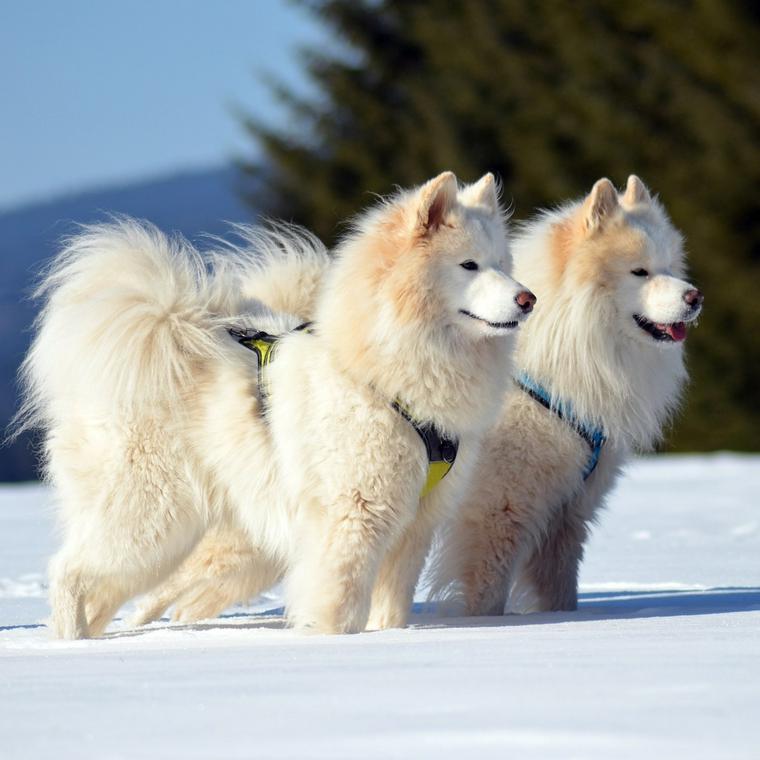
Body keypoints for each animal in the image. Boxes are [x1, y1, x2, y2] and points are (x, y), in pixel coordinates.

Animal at [14, 171, 532, 636]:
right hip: (147, 517)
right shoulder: (354, 516)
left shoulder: (414, 528)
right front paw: (331, 640)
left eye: (504, 264)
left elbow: (391, 609)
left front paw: (389, 638)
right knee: (69, 571)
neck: (379, 373)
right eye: (469, 265)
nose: (528, 299)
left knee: (106, 590)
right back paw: (69, 643)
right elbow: (339, 601)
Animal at [430, 175, 704, 616]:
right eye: (640, 272)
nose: (695, 297)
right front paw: (481, 626)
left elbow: (561, 591)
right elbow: (487, 593)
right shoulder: (496, 511)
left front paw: (562, 620)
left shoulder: (567, 514)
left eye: (669, 268)